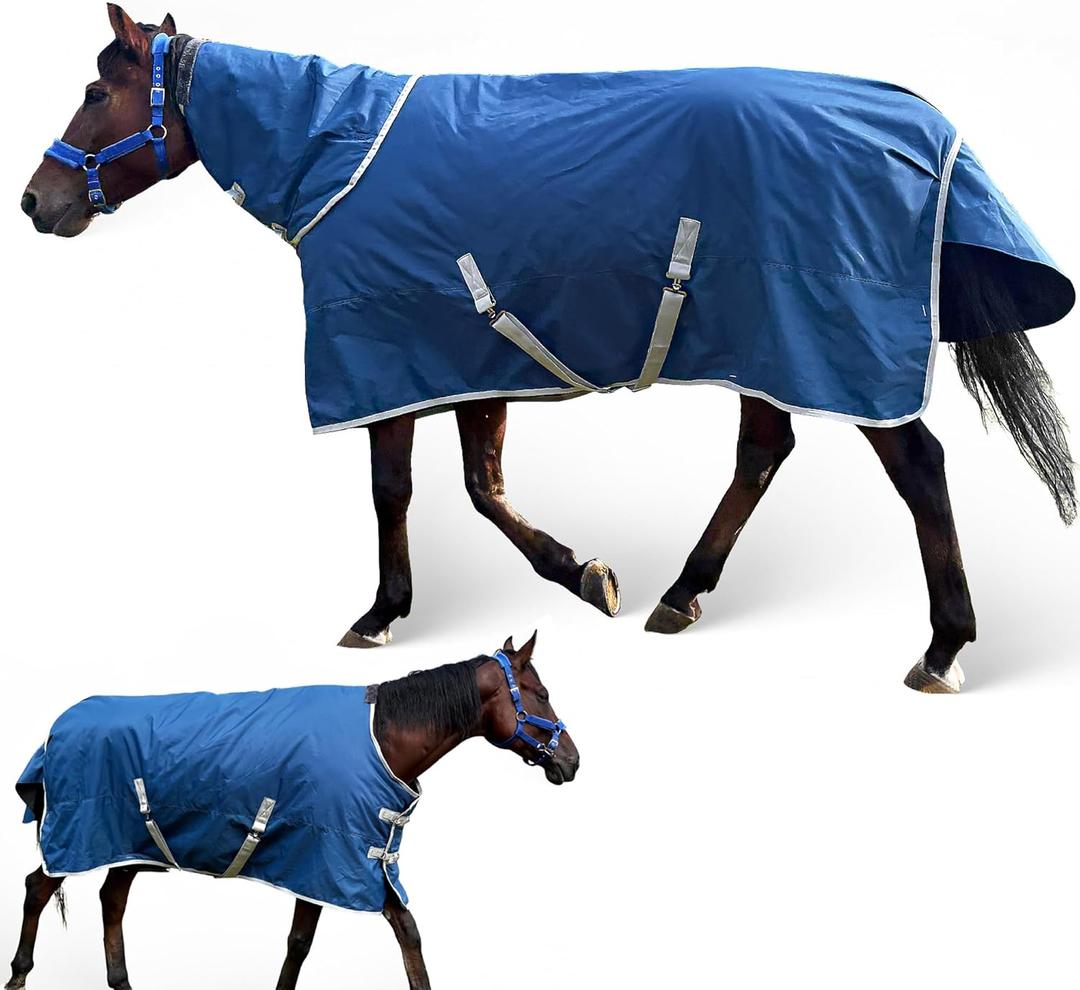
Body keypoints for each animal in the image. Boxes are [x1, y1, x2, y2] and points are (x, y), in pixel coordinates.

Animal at [6, 633, 574, 990]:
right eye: (542, 694)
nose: (572, 761)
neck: (382, 738)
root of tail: (56, 727)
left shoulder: (353, 863)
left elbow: (379, 934)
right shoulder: (328, 858)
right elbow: (321, 940)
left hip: (126, 844)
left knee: (111, 900)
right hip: (79, 836)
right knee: (38, 887)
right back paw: (17, 974)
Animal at [21, 7, 1076, 693]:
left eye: (94, 89)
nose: (37, 201)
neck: (334, 151)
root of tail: (915, 123)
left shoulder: (395, 355)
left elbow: (399, 490)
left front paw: (382, 613)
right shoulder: (469, 357)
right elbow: (482, 490)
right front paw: (585, 575)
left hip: (823, 340)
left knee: (918, 467)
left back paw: (943, 647)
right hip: (763, 341)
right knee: (763, 452)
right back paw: (683, 594)